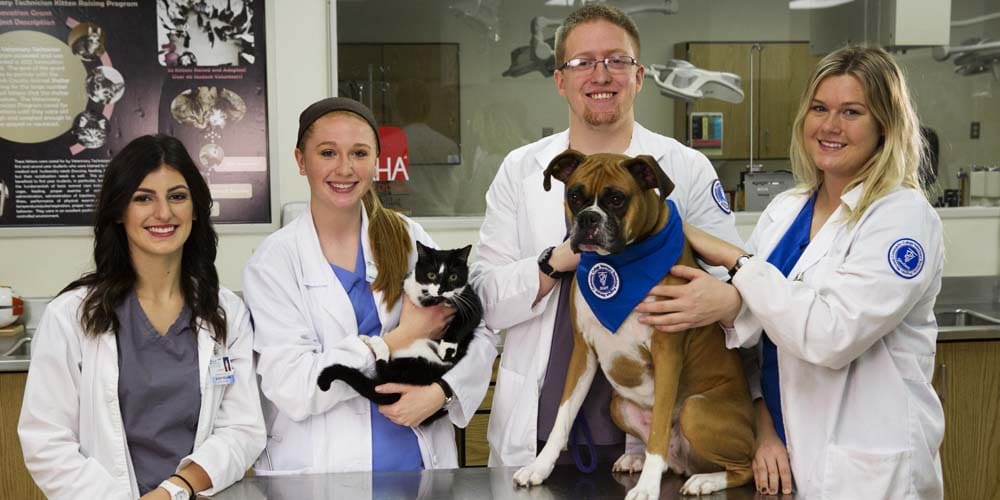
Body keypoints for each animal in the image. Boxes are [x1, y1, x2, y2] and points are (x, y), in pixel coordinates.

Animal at [314, 240, 482, 424]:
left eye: (453, 277)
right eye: (431, 275)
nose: (441, 290)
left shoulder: (470, 300)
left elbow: (466, 320)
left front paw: (448, 347)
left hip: (421, 368)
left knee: (387, 371)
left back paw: (375, 342)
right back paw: (371, 340)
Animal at [512, 150, 752, 498]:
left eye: (616, 199)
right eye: (574, 196)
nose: (589, 218)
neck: (619, 265)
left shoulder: (667, 353)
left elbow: (659, 429)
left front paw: (647, 487)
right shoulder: (583, 351)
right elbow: (563, 415)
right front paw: (539, 467)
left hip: (695, 410)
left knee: (744, 468)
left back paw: (705, 479)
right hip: (618, 405)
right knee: (670, 456)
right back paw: (638, 460)